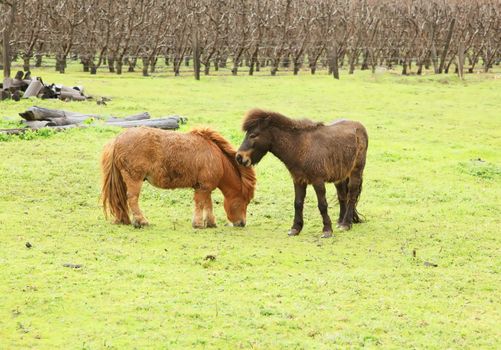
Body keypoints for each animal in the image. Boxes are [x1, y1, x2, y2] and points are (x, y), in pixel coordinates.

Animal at [100, 127, 256, 228]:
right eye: (244, 201)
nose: (242, 224)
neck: (217, 158)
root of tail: (117, 139)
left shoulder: (205, 188)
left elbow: (208, 204)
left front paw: (210, 222)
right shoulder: (202, 187)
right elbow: (200, 204)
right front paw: (198, 224)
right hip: (134, 179)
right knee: (132, 199)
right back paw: (141, 221)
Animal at [234, 108, 368, 237]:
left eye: (253, 135)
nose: (239, 157)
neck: (300, 147)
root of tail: (359, 126)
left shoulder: (318, 181)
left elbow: (322, 205)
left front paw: (327, 230)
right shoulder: (298, 180)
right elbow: (298, 203)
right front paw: (295, 229)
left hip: (356, 171)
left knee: (352, 195)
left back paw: (346, 224)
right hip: (340, 177)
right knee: (342, 196)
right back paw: (341, 221)